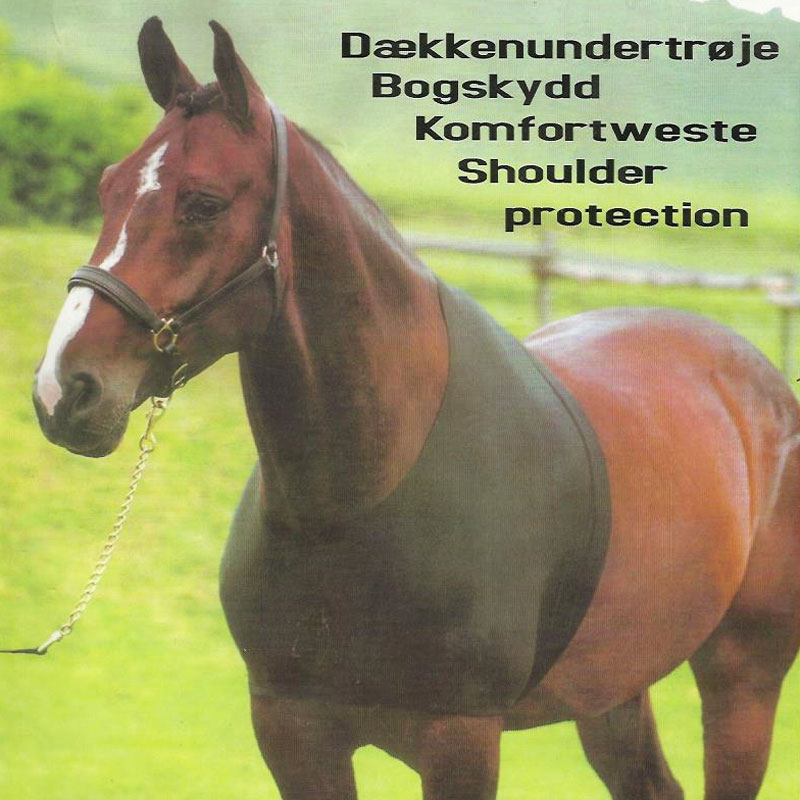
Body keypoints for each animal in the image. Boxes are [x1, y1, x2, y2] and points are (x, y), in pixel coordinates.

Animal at [32, 17, 799, 800]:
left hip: (743, 679)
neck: (359, 497)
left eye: (204, 203)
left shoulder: (460, 738)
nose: (65, 389)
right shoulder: (292, 731)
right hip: (614, 689)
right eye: (109, 188)